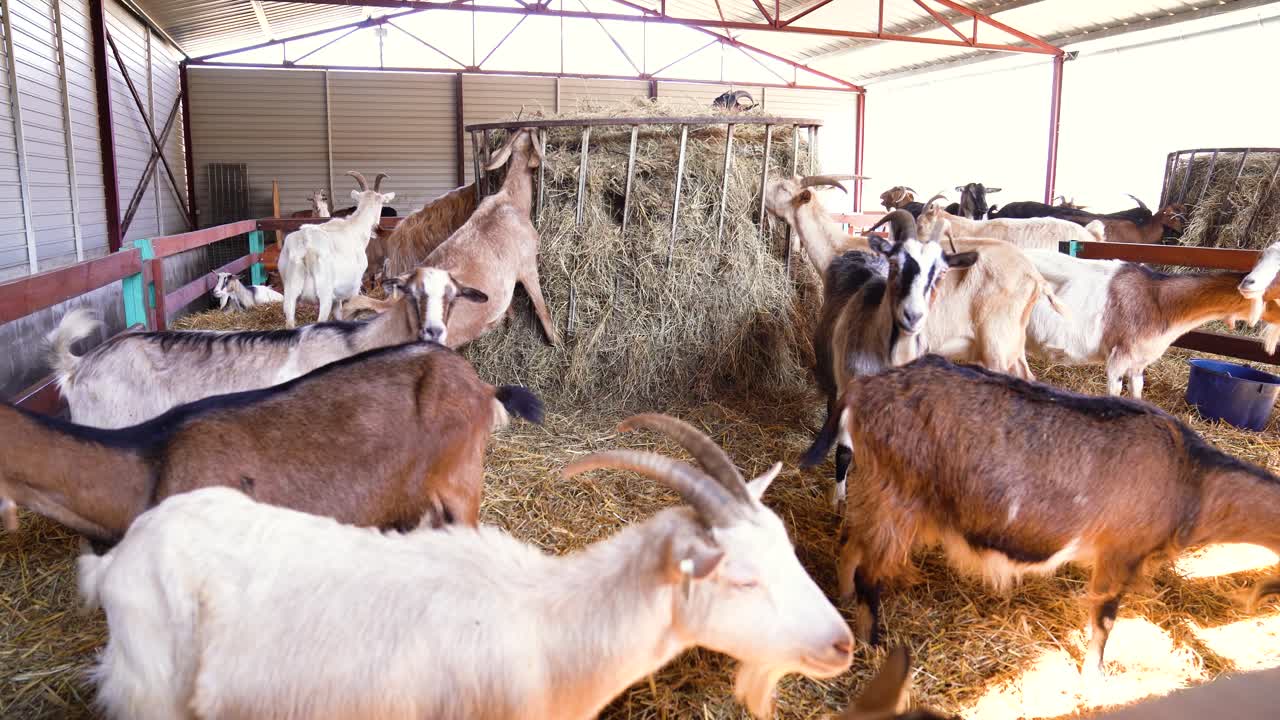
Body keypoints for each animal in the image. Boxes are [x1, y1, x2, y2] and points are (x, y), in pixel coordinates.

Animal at [78, 414, 851, 720]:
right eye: (741, 577)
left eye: (789, 550)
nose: (843, 646)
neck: (551, 628)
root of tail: (118, 559)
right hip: (150, 695)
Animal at [280, 170, 395, 328]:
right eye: (382, 204)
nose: (375, 227)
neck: (355, 228)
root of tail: (307, 246)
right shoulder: (355, 286)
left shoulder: (337, 297)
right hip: (324, 293)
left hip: (290, 292)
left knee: (290, 321)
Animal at [804, 354, 1280, 683]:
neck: (1191, 479)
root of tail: (863, 388)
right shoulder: (1119, 553)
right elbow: (1104, 620)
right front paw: (1096, 677)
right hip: (899, 498)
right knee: (870, 571)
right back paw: (874, 644)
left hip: (878, 494)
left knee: (849, 542)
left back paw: (843, 601)